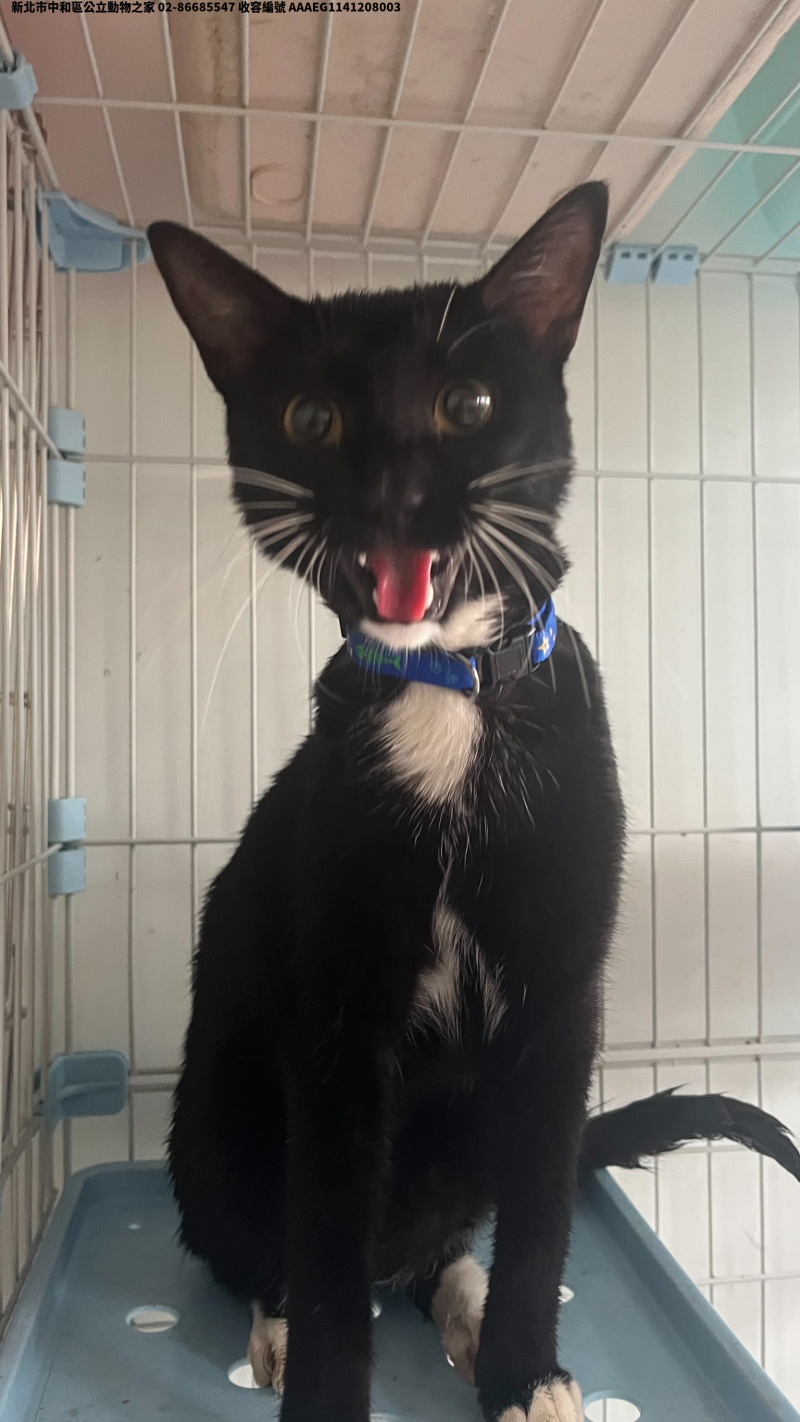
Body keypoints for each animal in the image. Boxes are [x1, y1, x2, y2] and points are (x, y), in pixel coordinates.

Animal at [148, 183, 800, 1422]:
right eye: (311, 419)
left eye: (467, 405)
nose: (392, 487)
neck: (447, 690)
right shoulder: (338, 1011)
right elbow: (323, 1231)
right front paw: (323, 1387)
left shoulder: (561, 996)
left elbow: (540, 1214)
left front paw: (522, 1374)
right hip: (212, 1126)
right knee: (262, 1241)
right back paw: (276, 1323)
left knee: (444, 1235)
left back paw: (452, 1294)